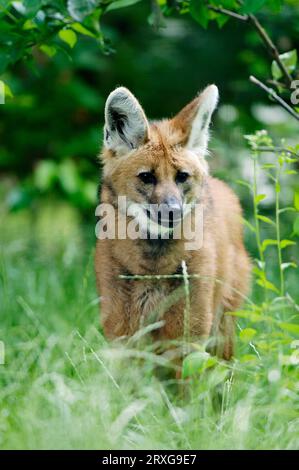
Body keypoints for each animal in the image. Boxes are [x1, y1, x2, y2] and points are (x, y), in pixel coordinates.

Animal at [95, 84, 251, 358]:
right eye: (147, 177)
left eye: (182, 176)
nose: (173, 211)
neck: (153, 269)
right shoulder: (123, 335)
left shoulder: (187, 335)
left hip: (222, 325)